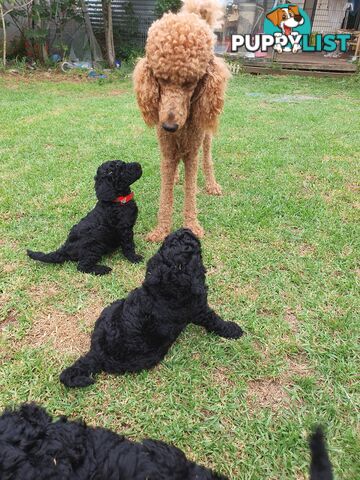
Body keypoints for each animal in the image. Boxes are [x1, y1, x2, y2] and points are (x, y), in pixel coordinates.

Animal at [59, 228, 245, 386]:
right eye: (188, 244)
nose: (184, 230)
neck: (168, 285)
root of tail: (96, 354)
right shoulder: (199, 310)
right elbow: (215, 321)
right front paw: (233, 330)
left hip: (110, 308)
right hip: (148, 357)